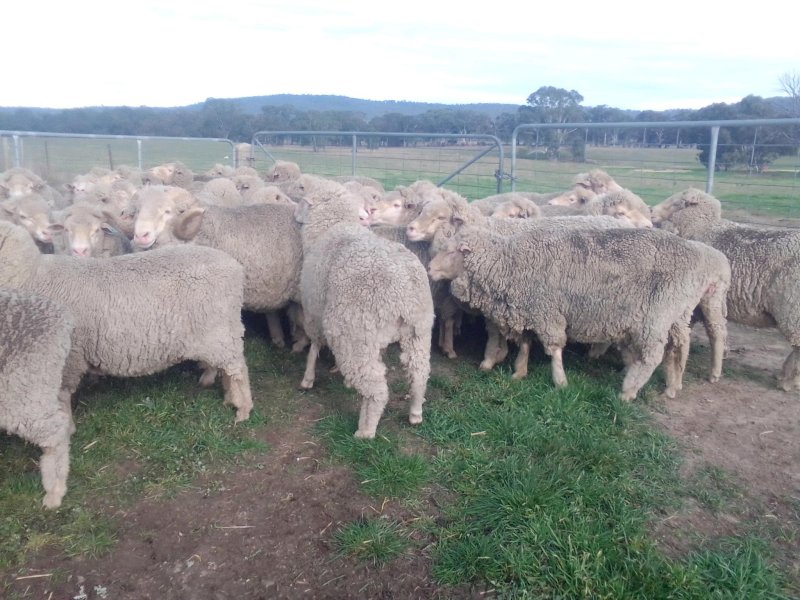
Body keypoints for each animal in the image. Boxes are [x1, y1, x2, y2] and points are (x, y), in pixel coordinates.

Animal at [0, 220, 253, 424]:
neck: (32, 274)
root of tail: (235, 266)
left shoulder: (69, 357)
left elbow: (62, 398)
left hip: (220, 330)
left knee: (238, 369)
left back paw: (242, 409)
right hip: (214, 331)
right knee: (224, 367)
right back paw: (221, 391)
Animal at [295, 186, 434, 438]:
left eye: (303, 203)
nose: (294, 215)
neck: (334, 225)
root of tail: (403, 288)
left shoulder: (313, 309)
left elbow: (314, 345)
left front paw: (308, 378)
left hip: (352, 334)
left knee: (376, 389)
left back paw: (365, 431)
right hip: (418, 330)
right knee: (419, 373)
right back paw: (415, 413)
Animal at [427, 224, 730, 400]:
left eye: (454, 251)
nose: (429, 268)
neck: (511, 262)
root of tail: (698, 254)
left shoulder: (548, 312)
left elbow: (554, 349)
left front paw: (560, 382)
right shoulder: (531, 309)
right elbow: (525, 343)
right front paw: (519, 372)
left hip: (656, 315)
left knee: (652, 355)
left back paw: (628, 390)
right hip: (677, 314)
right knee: (679, 346)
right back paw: (672, 385)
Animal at [651, 187, 800, 391]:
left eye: (678, 203)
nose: (650, 210)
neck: (701, 227)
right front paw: (725, 352)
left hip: (792, 309)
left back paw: (788, 381)